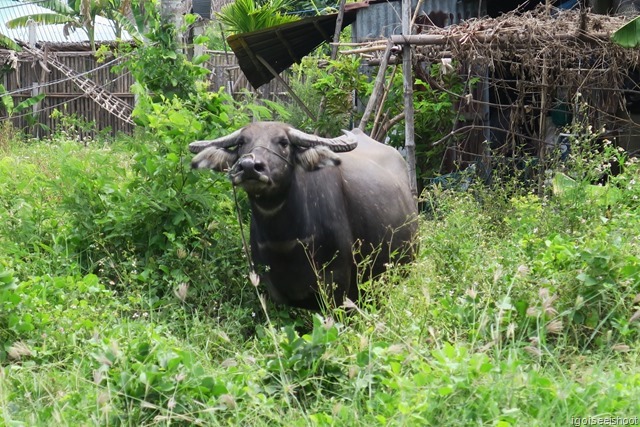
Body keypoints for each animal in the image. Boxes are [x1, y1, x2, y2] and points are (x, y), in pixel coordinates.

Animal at [189, 122, 420, 310]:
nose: (248, 167)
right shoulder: (271, 289)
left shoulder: (337, 285)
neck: (285, 242)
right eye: (240, 143)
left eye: (283, 142)